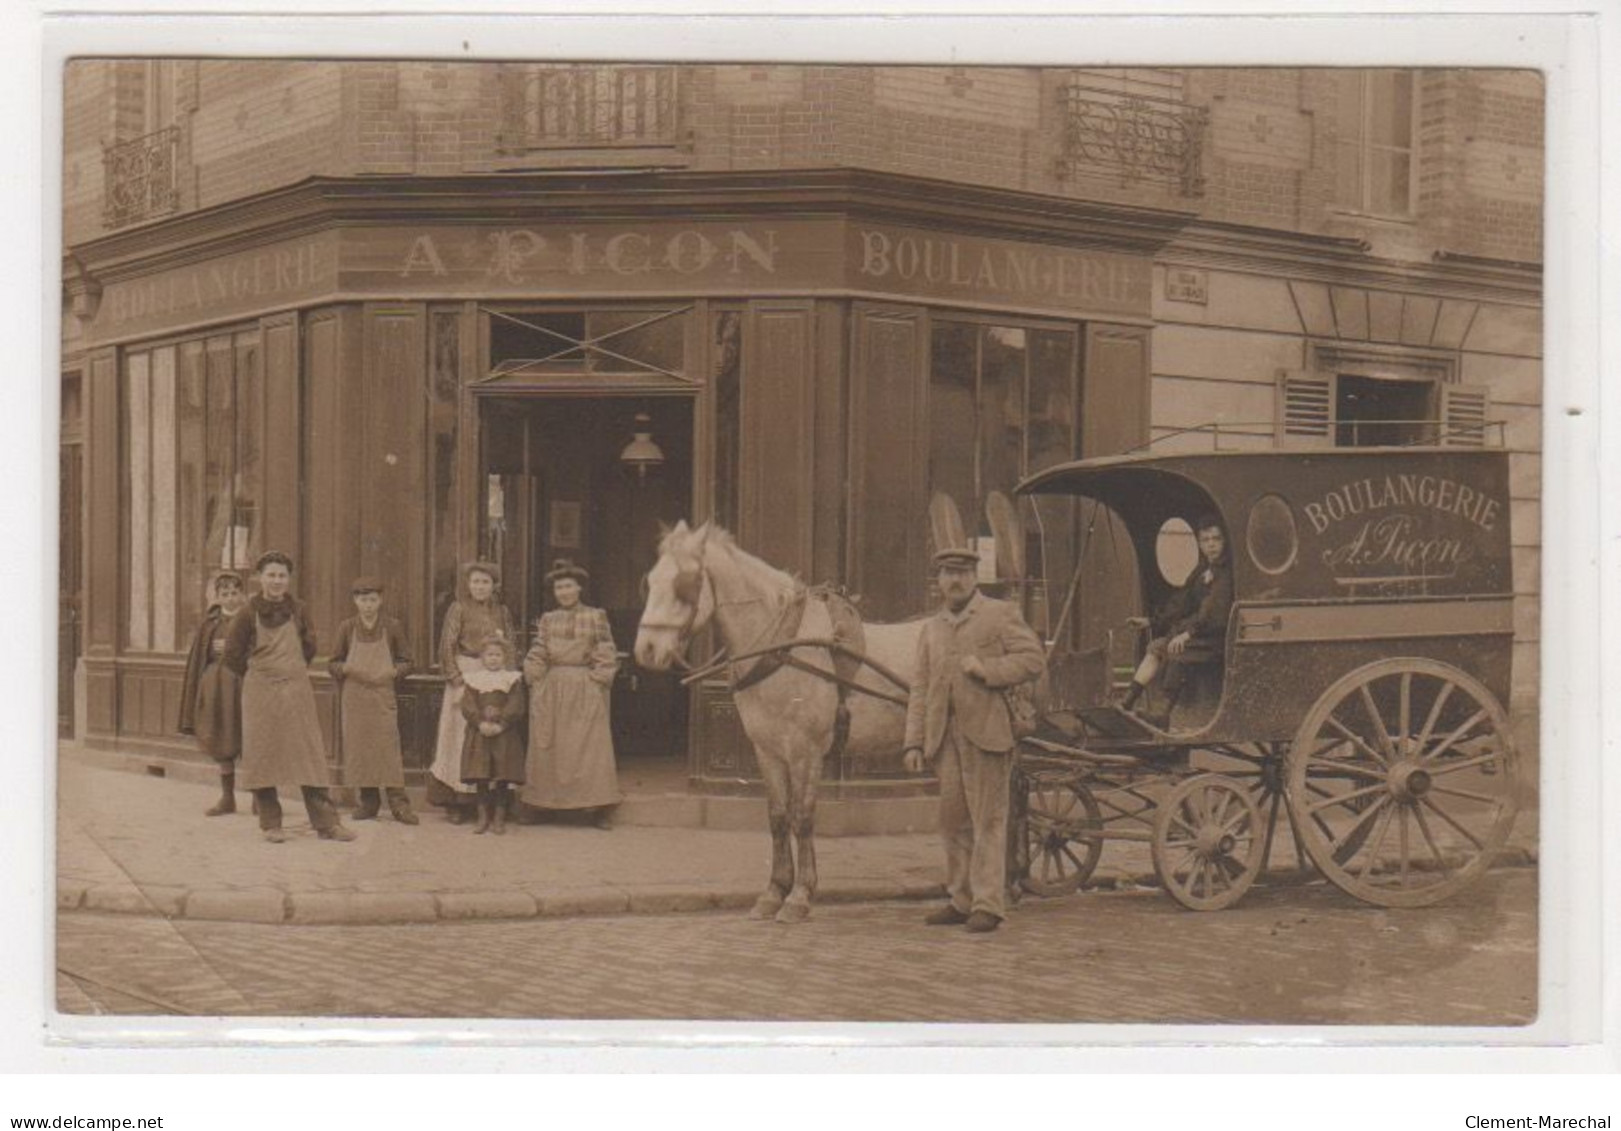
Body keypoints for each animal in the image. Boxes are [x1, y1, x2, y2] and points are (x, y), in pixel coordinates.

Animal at [635, 521, 927, 926]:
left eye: (685, 585)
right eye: (650, 581)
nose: (646, 649)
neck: (784, 647)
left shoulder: (806, 751)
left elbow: (802, 817)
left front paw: (800, 896)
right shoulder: (768, 750)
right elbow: (777, 817)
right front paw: (774, 892)